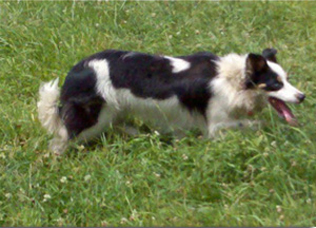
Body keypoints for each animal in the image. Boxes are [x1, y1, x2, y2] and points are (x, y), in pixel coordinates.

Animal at [37, 48, 306, 155]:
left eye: (287, 79)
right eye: (276, 84)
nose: (302, 96)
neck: (234, 79)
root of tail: (75, 71)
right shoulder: (216, 123)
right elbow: (256, 124)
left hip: (112, 112)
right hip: (93, 118)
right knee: (60, 140)